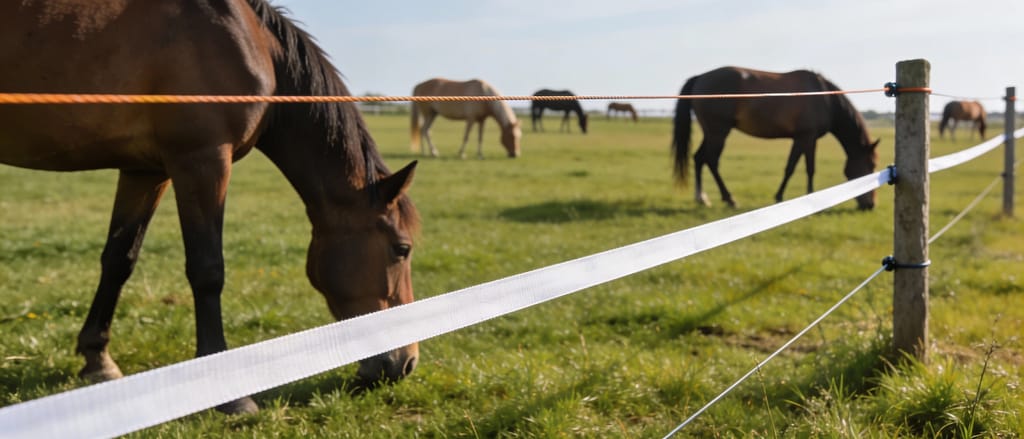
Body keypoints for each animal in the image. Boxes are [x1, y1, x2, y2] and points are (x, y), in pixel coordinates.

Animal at [0, 0, 421, 414]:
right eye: (402, 249)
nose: (406, 363)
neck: (250, 40)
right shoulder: (203, 161)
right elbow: (207, 271)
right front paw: (228, 392)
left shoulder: (146, 171)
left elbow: (119, 260)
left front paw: (97, 360)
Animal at [672, 66, 879, 210]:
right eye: (870, 166)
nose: (870, 206)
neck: (826, 99)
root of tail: (700, 77)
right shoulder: (808, 137)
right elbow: (809, 168)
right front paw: (810, 198)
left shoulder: (799, 139)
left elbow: (790, 167)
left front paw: (779, 196)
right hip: (718, 132)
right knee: (711, 160)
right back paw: (729, 199)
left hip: (711, 132)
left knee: (699, 158)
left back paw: (702, 198)